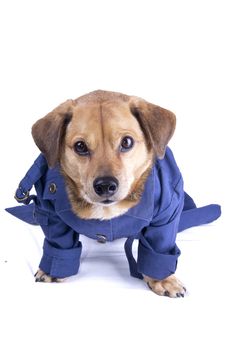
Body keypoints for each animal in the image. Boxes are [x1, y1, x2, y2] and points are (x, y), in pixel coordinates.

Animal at [6, 89, 221, 296]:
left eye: (126, 142)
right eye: (80, 146)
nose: (105, 185)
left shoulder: (167, 215)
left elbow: (159, 246)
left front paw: (162, 280)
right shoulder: (50, 215)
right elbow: (59, 243)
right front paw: (52, 270)